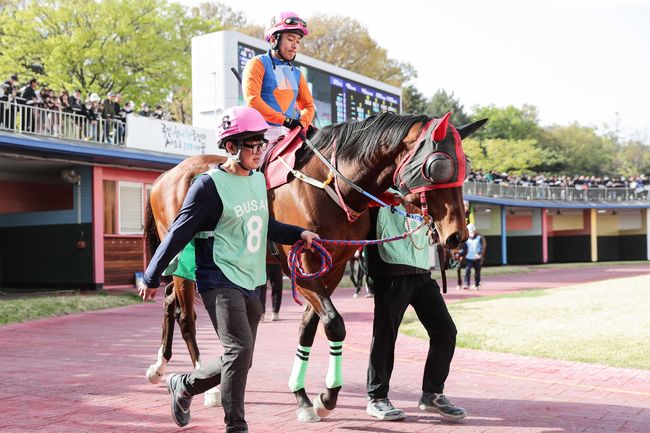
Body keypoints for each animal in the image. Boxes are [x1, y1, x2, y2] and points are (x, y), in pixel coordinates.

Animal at [143, 110, 486, 418]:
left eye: (466, 166)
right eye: (438, 165)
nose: (457, 235)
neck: (330, 184)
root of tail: (164, 177)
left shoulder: (333, 266)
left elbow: (308, 326)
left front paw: (305, 397)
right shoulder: (303, 263)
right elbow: (334, 323)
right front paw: (327, 396)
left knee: (171, 301)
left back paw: (160, 365)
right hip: (183, 254)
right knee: (186, 316)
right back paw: (208, 386)